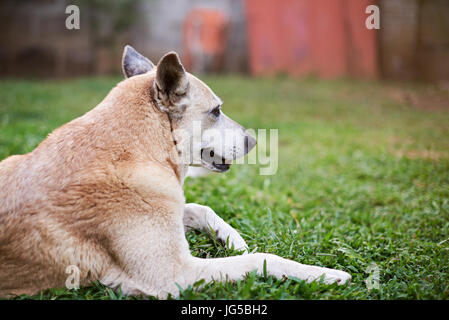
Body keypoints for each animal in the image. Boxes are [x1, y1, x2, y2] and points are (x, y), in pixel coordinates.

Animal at [0, 45, 350, 298]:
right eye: (216, 111)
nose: (252, 141)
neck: (142, 148)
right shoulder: (174, 275)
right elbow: (261, 259)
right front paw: (326, 275)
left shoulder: (171, 211)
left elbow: (200, 208)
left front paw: (233, 238)